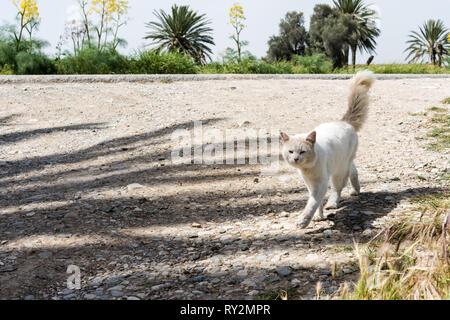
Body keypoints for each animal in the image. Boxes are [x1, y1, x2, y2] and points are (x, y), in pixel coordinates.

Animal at [280, 71, 374, 229]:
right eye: (291, 152)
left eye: (302, 152)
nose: (296, 159)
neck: (307, 169)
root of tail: (343, 122)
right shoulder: (310, 184)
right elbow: (316, 203)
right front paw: (319, 216)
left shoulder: (320, 184)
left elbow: (313, 203)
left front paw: (304, 221)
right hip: (344, 163)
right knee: (353, 171)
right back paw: (355, 190)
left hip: (338, 171)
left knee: (337, 188)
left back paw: (332, 204)